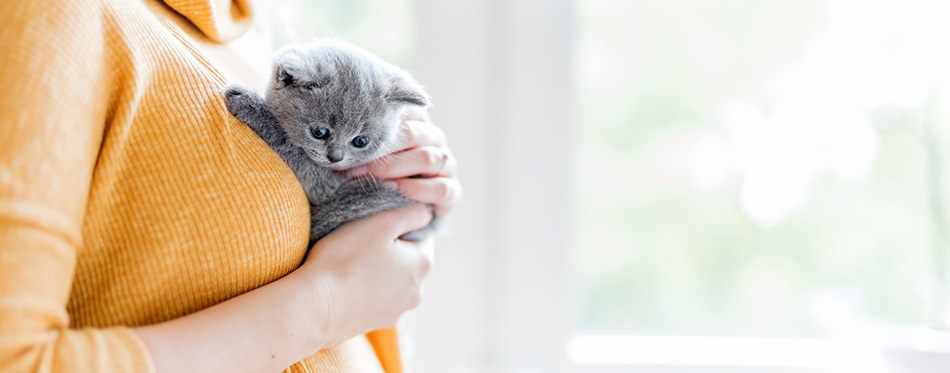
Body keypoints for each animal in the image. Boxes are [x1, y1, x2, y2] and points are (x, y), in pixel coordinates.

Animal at [223, 40, 436, 244]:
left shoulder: (330, 184)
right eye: (319, 132)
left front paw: (250, 104)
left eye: (361, 141)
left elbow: (293, 149)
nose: (335, 158)